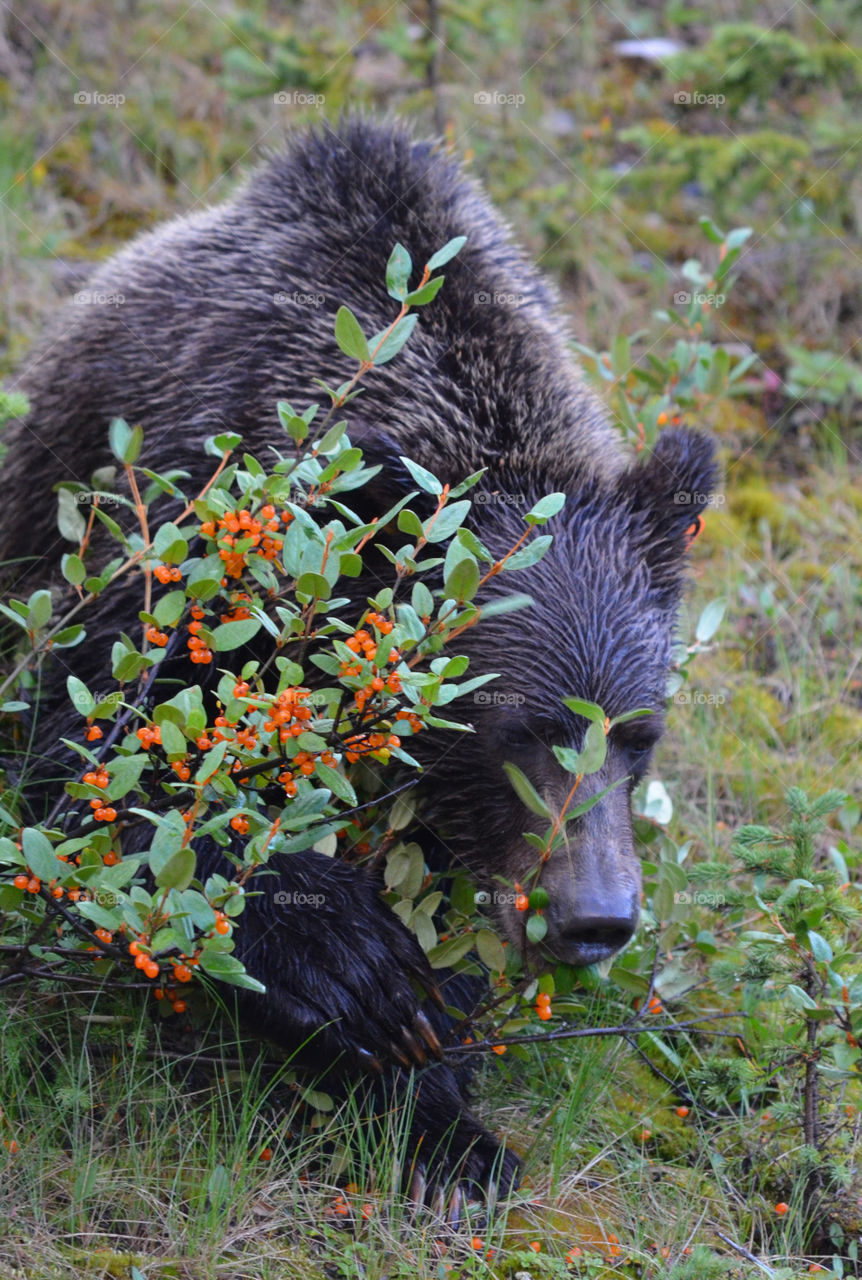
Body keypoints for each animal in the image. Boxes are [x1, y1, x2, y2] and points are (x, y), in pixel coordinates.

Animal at [0, 116, 716, 1208]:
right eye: (524, 728)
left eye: (638, 734)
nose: (594, 916)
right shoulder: (180, 552)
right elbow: (96, 760)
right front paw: (353, 975)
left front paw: (446, 1123)